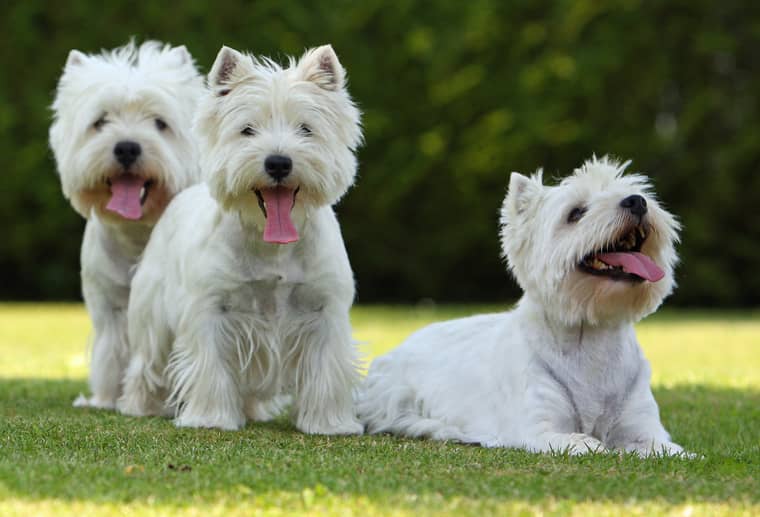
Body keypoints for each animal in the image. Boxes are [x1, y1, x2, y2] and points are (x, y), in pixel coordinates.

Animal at [50, 40, 205, 408]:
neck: (139, 231)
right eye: (100, 121)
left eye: (160, 123)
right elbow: (113, 353)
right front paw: (107, 399)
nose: (127, 148)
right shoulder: (109, 305)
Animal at [118, 44, 366, 434]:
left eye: (306, 129)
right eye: (247, 130)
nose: (278, 162)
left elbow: (327, 370)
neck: (272, 246)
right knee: (147, 362)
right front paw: (210, 418)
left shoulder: (326, 309)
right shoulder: (210, 308)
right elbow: (211, 367)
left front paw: (330, 424)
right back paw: (140, 406)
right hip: (152, 315)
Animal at [356, 156, 688, 456]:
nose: (637, 202)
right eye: (576, 212)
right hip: (394, 394)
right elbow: (580, 442)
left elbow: (667, 449)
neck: (592, 336)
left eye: (638, 193)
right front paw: (592, 445)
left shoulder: (644, 429)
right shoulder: (538, 428)